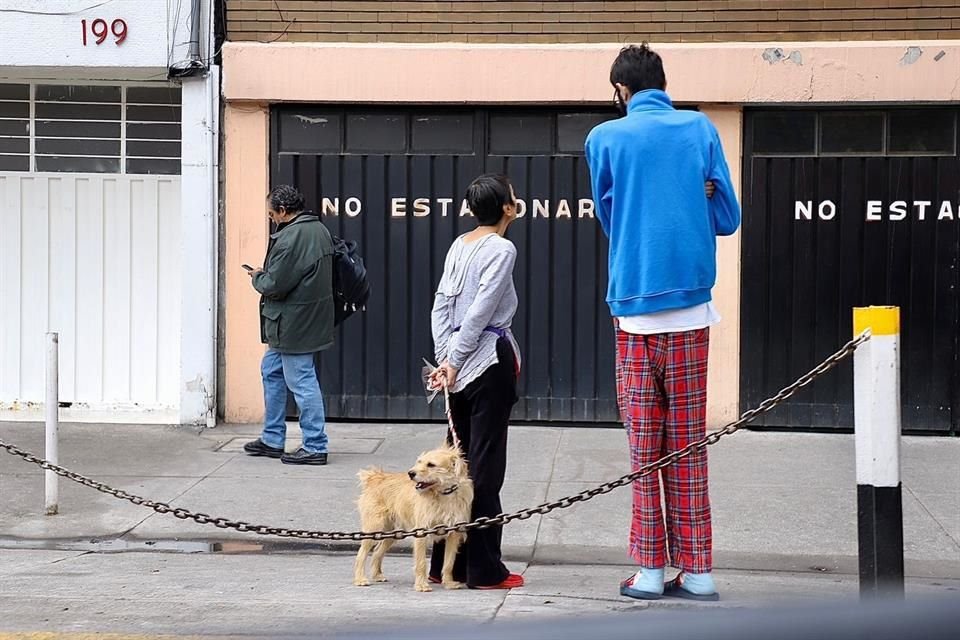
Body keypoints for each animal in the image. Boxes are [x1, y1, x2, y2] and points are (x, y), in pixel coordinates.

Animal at [352, 442, 472, 592]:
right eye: (419, 462)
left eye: (431, 464)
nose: (410, 473)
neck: (444, 494)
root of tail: (375, 477)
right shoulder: (422, 531)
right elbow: (421, 563)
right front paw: (421, 585)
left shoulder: (454, 533)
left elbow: (449, 562)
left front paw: (449, 583)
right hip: (374, 528)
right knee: (361, 554)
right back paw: (360, 579)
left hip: (393, 534)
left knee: (377, 551)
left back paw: (377, 575)